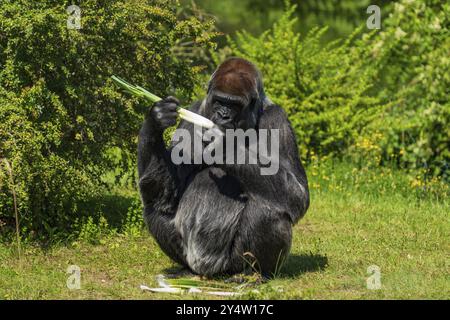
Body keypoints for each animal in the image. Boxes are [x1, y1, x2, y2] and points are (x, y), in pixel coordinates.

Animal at [137, 58, 310, 278]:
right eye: (219, 101)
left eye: (234, 105)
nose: (223, 116)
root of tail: (207, 271)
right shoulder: (195, 110)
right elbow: (169, 192)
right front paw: (156, 119)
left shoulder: (277, 118)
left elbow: (298, 195)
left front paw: (224, 146)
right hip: (189, 256)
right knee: (155, 202)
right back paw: (184, 269)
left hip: (231, 264)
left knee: (272, 212)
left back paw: (257, 275)